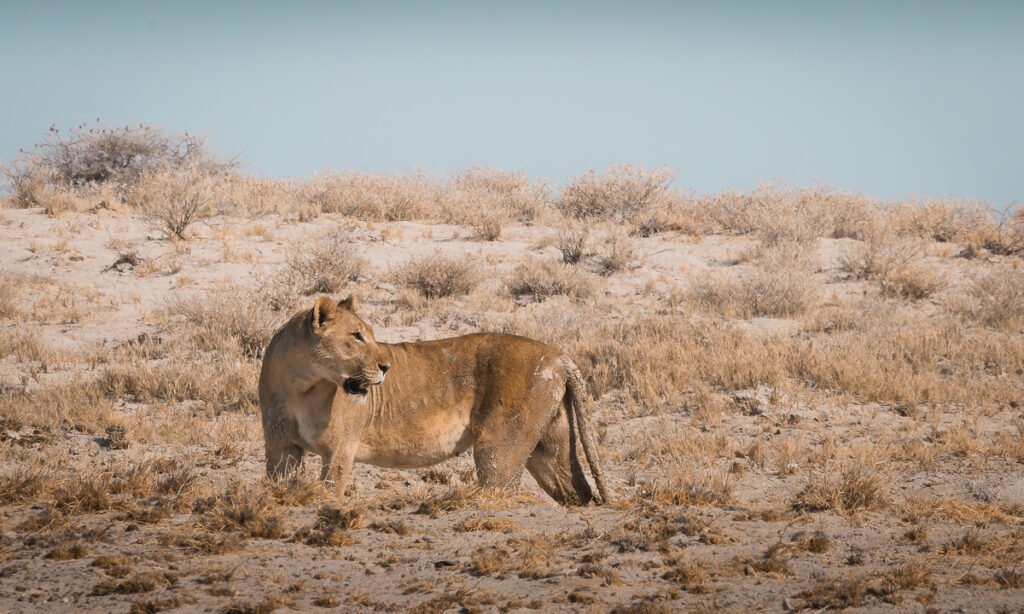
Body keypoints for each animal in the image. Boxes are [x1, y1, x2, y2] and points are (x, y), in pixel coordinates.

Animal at [258, 295, 609, 506]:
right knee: (577, 489)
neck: (304, 383)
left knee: (500, 486)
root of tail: (559, 354)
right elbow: (280, 484)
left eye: (370, 334)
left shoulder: (340, 449)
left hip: (499, 447)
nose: (386, 367)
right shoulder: (281, 449)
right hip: (550, 446)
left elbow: (328, 492)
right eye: (356, 336)